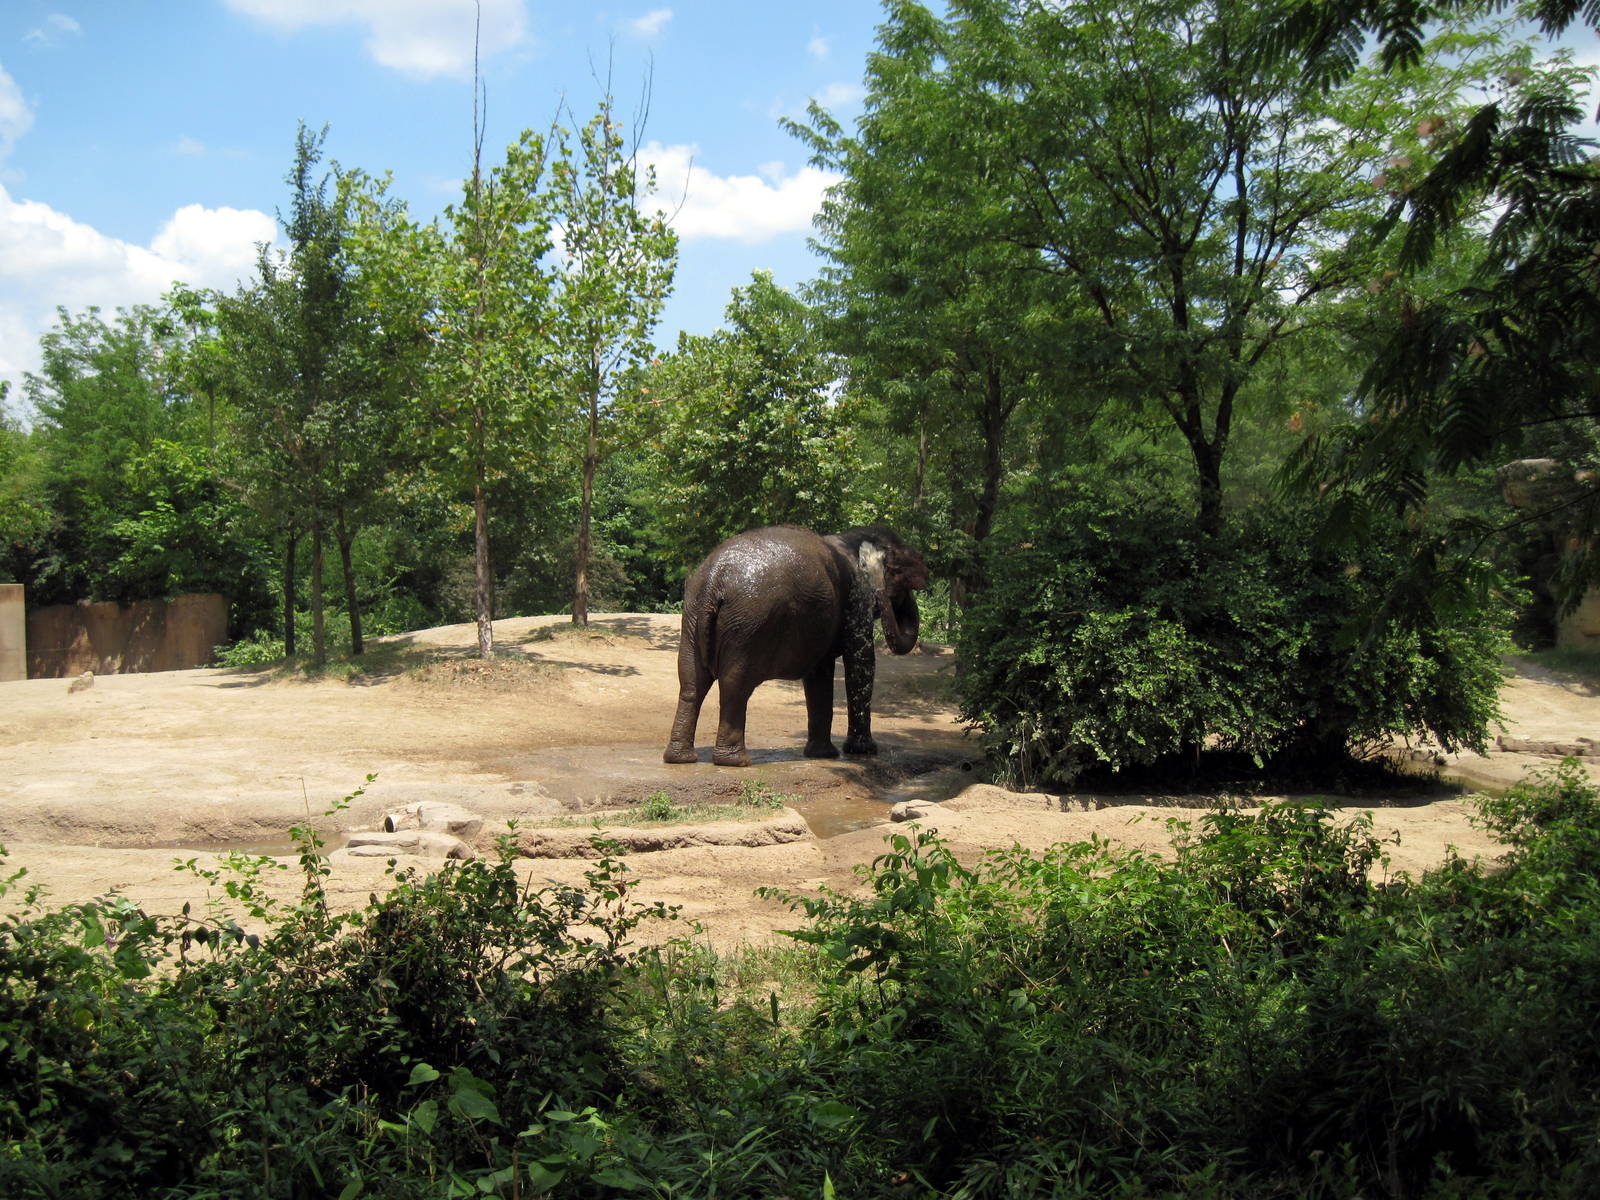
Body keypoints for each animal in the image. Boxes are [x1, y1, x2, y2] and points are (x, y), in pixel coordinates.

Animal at [663, 525, 929, 767]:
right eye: (900, 576)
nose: (887, 593)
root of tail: (713, 580)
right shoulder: (857, 600)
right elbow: (860, 664)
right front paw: (863, 751)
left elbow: (820, 675)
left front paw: (823, 755)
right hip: (746, 626)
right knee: (734, 685)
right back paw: (735, 762)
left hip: (693, 616)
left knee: (691, 683)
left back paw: (681, 758)